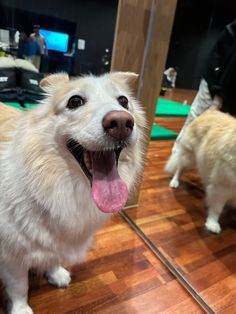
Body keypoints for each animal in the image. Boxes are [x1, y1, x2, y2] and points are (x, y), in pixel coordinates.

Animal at [0, 72, 146, 312]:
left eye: (123, 101)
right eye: (75, 101)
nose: (121, 122)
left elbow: (53, 255)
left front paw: (56, 272)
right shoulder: (11, 255)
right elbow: (20, 287)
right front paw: (21, 309)